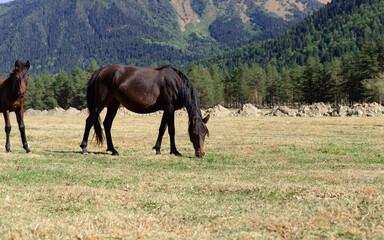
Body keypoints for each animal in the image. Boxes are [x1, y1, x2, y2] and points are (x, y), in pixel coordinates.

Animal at [80, 64, 210, 157]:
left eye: (205, 133)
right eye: (194, 133)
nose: (201, 153)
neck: (177, 83)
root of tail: (101, 70)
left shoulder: (166, 109)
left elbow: (162, 129)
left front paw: (157, 149)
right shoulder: (170, 108)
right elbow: (171, 130)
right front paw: (175, 151)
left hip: (113, 104)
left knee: (107, 124)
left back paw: (113, 150)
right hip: (100, 103)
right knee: (89, 121)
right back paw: (84, 148)